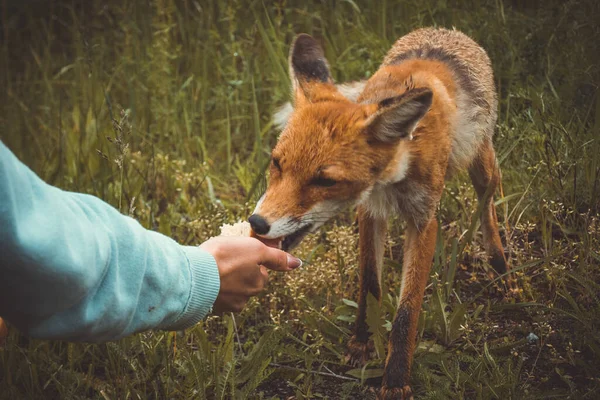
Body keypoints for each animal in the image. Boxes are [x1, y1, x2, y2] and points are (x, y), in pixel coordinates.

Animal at [248, 26, 510, 398]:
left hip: (482, 166)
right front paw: (361, 343)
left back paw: (501, 268)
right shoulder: (369, 211)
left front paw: (396, 380)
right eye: (276, 163)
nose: (257, 222)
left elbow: (407, 311)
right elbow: (369, 282)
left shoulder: (424, 220)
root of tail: (443, 30)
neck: (393, 176)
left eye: (325, 180)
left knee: (488, 207)